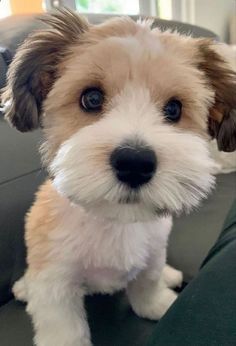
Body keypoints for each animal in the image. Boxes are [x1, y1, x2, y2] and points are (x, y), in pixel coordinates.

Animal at [2, 7, 236, 346]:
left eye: (174, 109)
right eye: (91, 98)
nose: (135, 162)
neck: (113, 220)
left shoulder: (152, 250)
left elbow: (148, 281)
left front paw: (156, 303)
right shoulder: (55, 282)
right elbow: (63, 325)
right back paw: (23, 286)